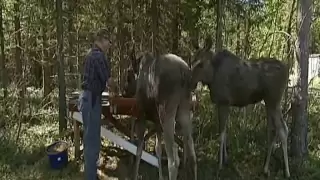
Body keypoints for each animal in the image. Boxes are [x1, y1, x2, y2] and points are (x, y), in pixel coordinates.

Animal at [124, 52, 196, 180]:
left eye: (128, 74)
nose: (124, 90)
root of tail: (184, 72)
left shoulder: (142, 115)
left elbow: (139, 149)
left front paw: (134, 175)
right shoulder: (157, 122)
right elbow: (157, 150)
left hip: (166, 113)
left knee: (173, 160)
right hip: (184, 112)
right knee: (192, 156)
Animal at [191, 37, 292, 178]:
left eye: (200, 64)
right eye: (192, 60)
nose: (189, 81)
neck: (212, 76)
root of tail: (287, 70)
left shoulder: (224, 102)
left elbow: (221, 134)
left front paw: (220, 165)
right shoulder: (223, 104)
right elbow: (225, 131)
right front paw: (226, 159)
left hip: (274, 100)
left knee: (283, 129)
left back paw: (287, 172)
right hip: (268, 102)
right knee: (272, 130)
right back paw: (265, 168)